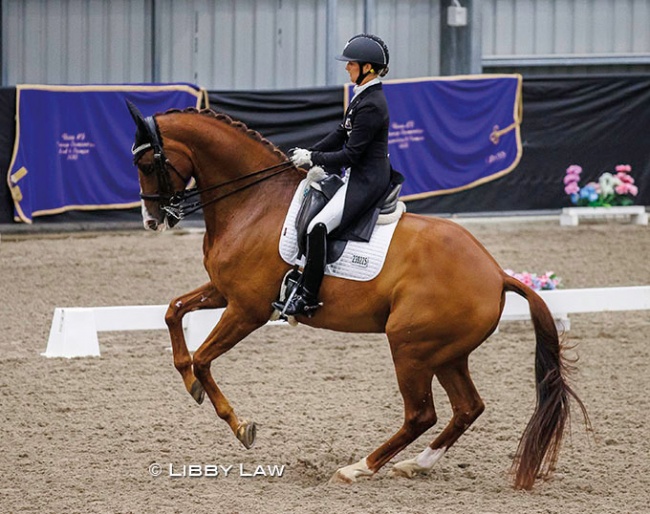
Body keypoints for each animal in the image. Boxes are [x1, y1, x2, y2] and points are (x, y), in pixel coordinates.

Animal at [128, 105, 588, 488]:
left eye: (148, 163)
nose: (151, 220)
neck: (252, 203)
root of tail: (495, 274)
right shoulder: (224, 292)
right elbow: (173, 312)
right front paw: (188, 381)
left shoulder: (248, 309)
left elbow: (205, 359)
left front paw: (239, 425)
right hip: (446, 353)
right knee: (467, 408)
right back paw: (415, 465)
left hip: (410, 346)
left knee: (422, 414)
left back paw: (358, 468)